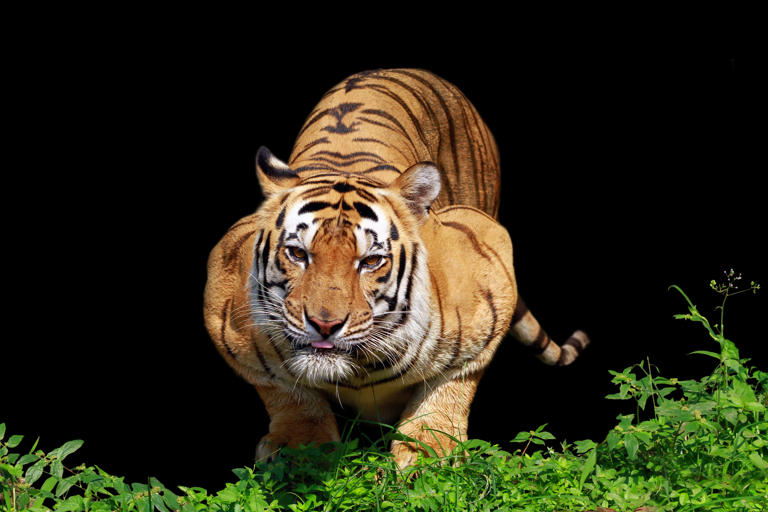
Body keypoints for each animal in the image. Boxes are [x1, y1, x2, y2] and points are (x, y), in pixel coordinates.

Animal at [203, 68, 589, 468]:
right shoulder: (226, 309)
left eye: (371, 261)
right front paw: (301, 447)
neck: (359, 372)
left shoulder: (491, 269)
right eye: (297, 254)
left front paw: (431, 448)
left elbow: (453, 382)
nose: (325, 325)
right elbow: (286, 391)